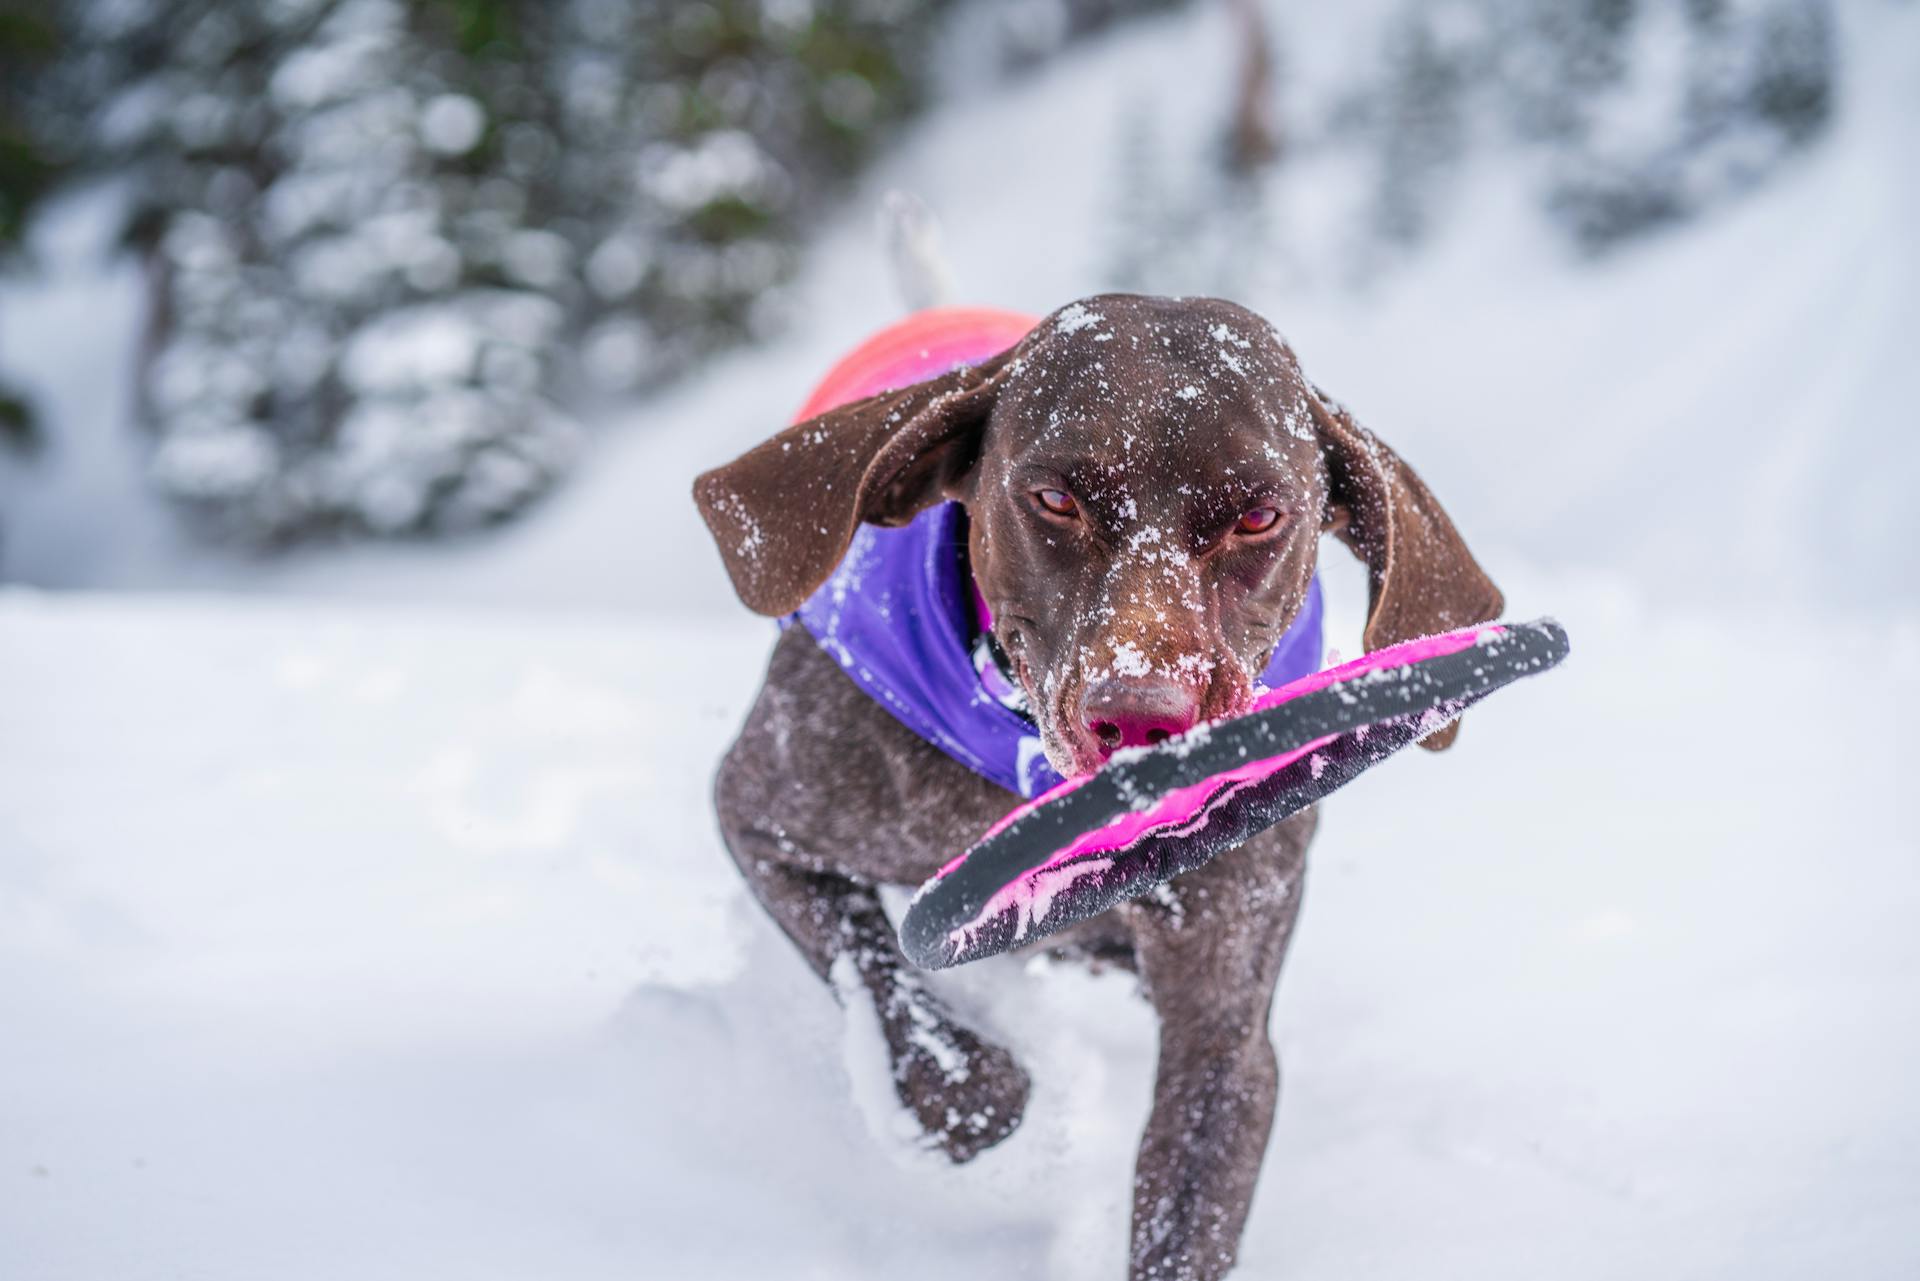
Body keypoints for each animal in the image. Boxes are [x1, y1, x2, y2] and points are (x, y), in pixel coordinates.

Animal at [691, 293, 1497, 1281]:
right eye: (1054, 500)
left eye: (1259, 516)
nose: (1143, 716)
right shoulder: (766, 817)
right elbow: (882, 982)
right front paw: (971, 1090)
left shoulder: (1221, 1032)